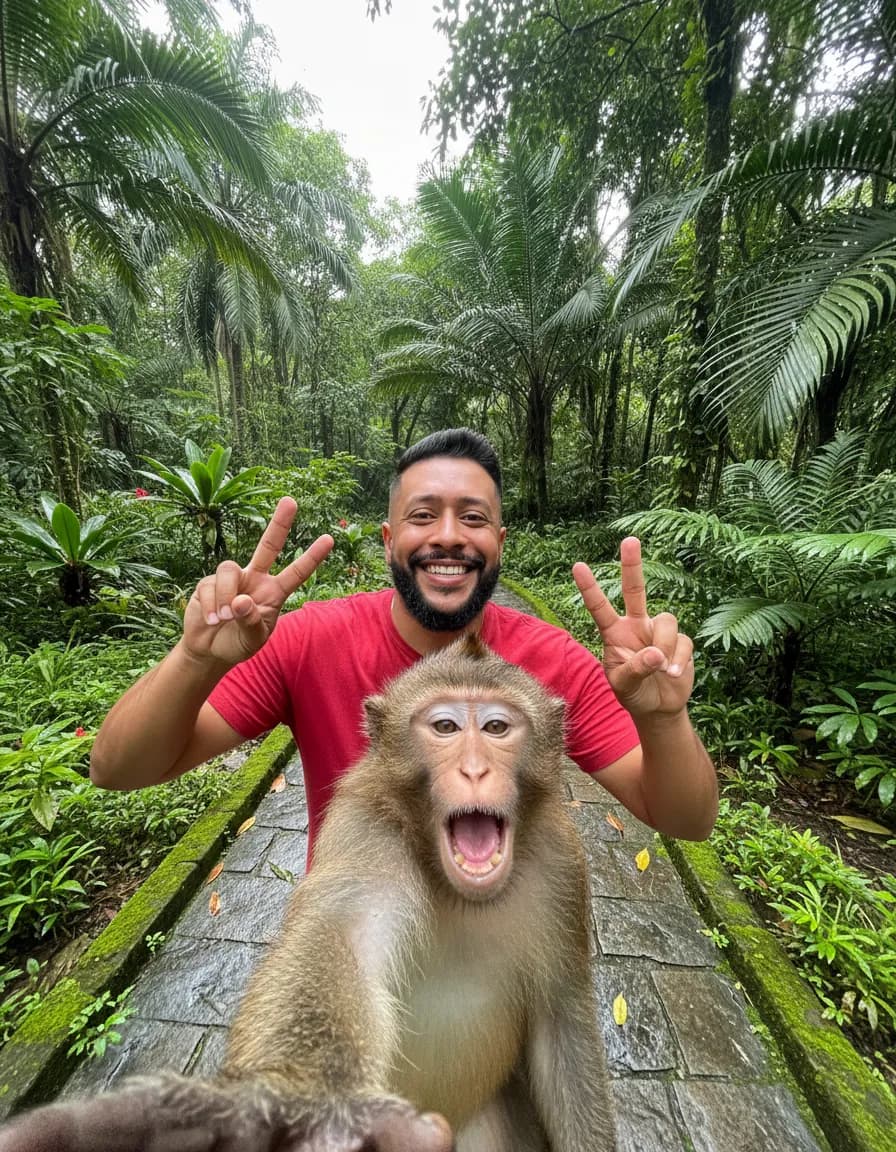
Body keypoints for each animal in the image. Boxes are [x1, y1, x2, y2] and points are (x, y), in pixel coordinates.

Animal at [0, 636, 616, 1152]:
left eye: (496, 728)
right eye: (444, 727)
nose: (474, 768)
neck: (456, 887)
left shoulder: (561, 864)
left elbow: (562, 1021)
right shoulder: (366, 834)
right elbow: (338, 937)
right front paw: (296, 1106)